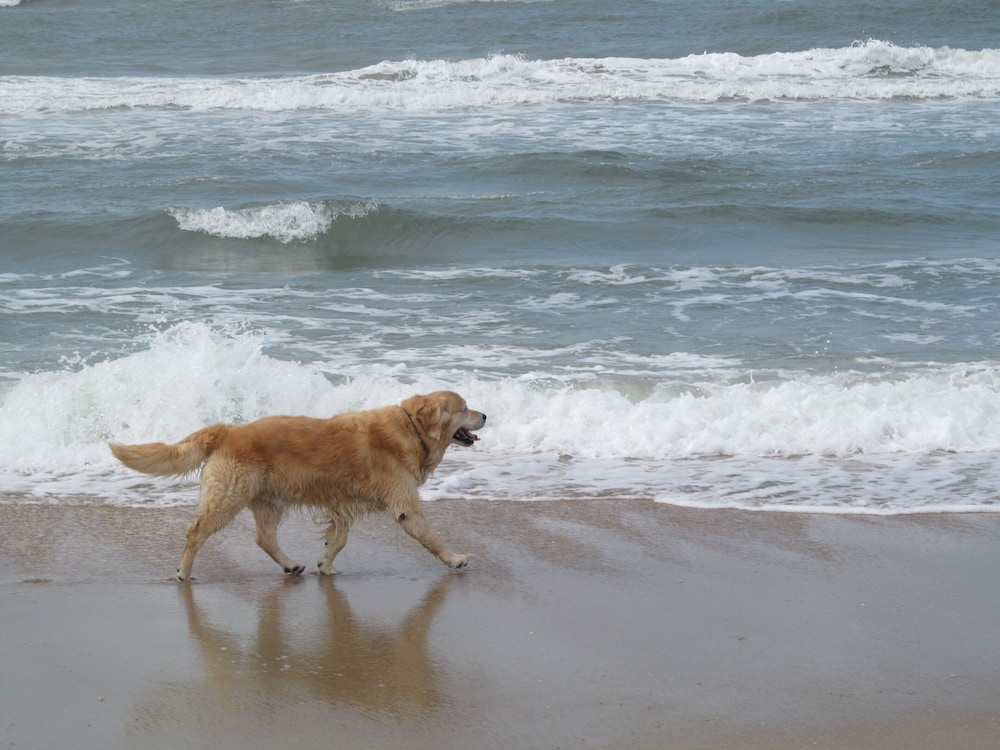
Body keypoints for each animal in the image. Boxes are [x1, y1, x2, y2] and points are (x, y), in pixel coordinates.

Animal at [109, 394, 484, 580]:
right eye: (465, 408)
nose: (485, 415)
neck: (412, 429)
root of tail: (227, 430)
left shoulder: (341, 500)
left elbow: (340, 538)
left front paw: (326, 563)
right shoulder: (404, 503)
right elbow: (431, 537)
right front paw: (454, 559)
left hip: (268, 501)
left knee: (263, 538)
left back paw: (290, 565)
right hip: (229, 496)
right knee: (196, 531)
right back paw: (184, 572)